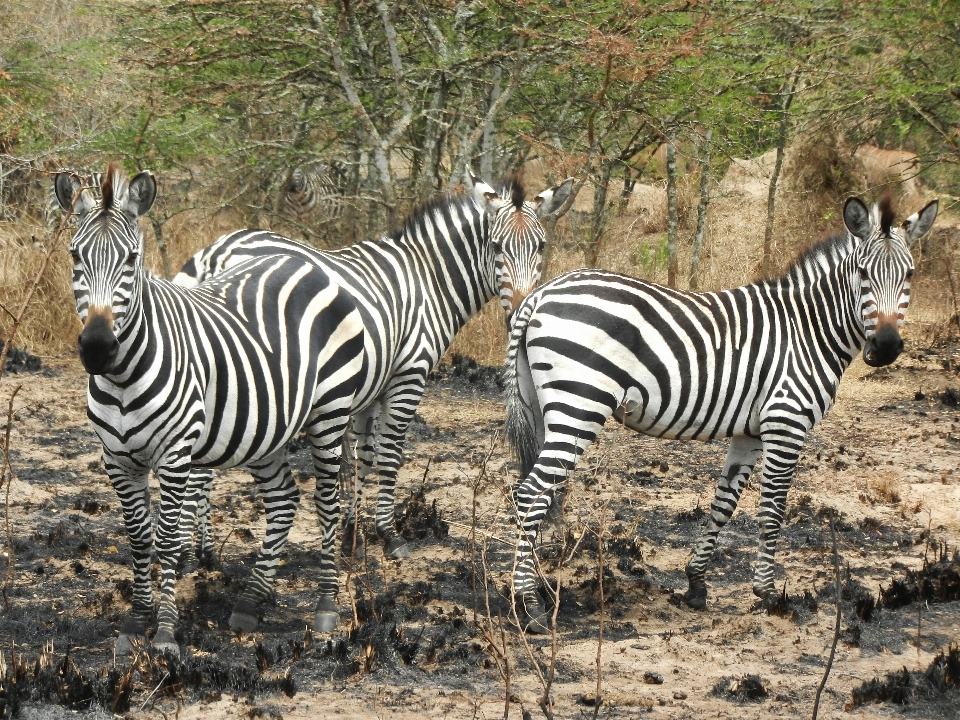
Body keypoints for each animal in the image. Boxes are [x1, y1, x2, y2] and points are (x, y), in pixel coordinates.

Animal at [55, 167, 368, 652]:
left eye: (131, 260)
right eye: (74, 255)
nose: (98, 348)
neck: (122, 377)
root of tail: (305, 260)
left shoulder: (175, 454)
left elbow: (166, 540)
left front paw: (165, 633)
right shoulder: (116, 459)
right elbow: (138, 539)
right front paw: (135, 622)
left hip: (330, 412)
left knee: (327, 501)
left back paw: (326, 607)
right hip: (267, 426)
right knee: (284, 499)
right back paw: (251, 603)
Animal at [502, 193, 936, 632]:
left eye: (910, 275)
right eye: (862, 273)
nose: (886, 347)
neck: (808, 329)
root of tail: (540, 294)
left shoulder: (751, 431)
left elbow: (723, 504)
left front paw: (696, 585)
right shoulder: (786, 421)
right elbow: (772, 512)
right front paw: (767, 594)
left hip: (543, 405)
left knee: (534, 492)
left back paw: (538, 589)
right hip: (580, 403)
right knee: (531, 492)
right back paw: (530, 607)